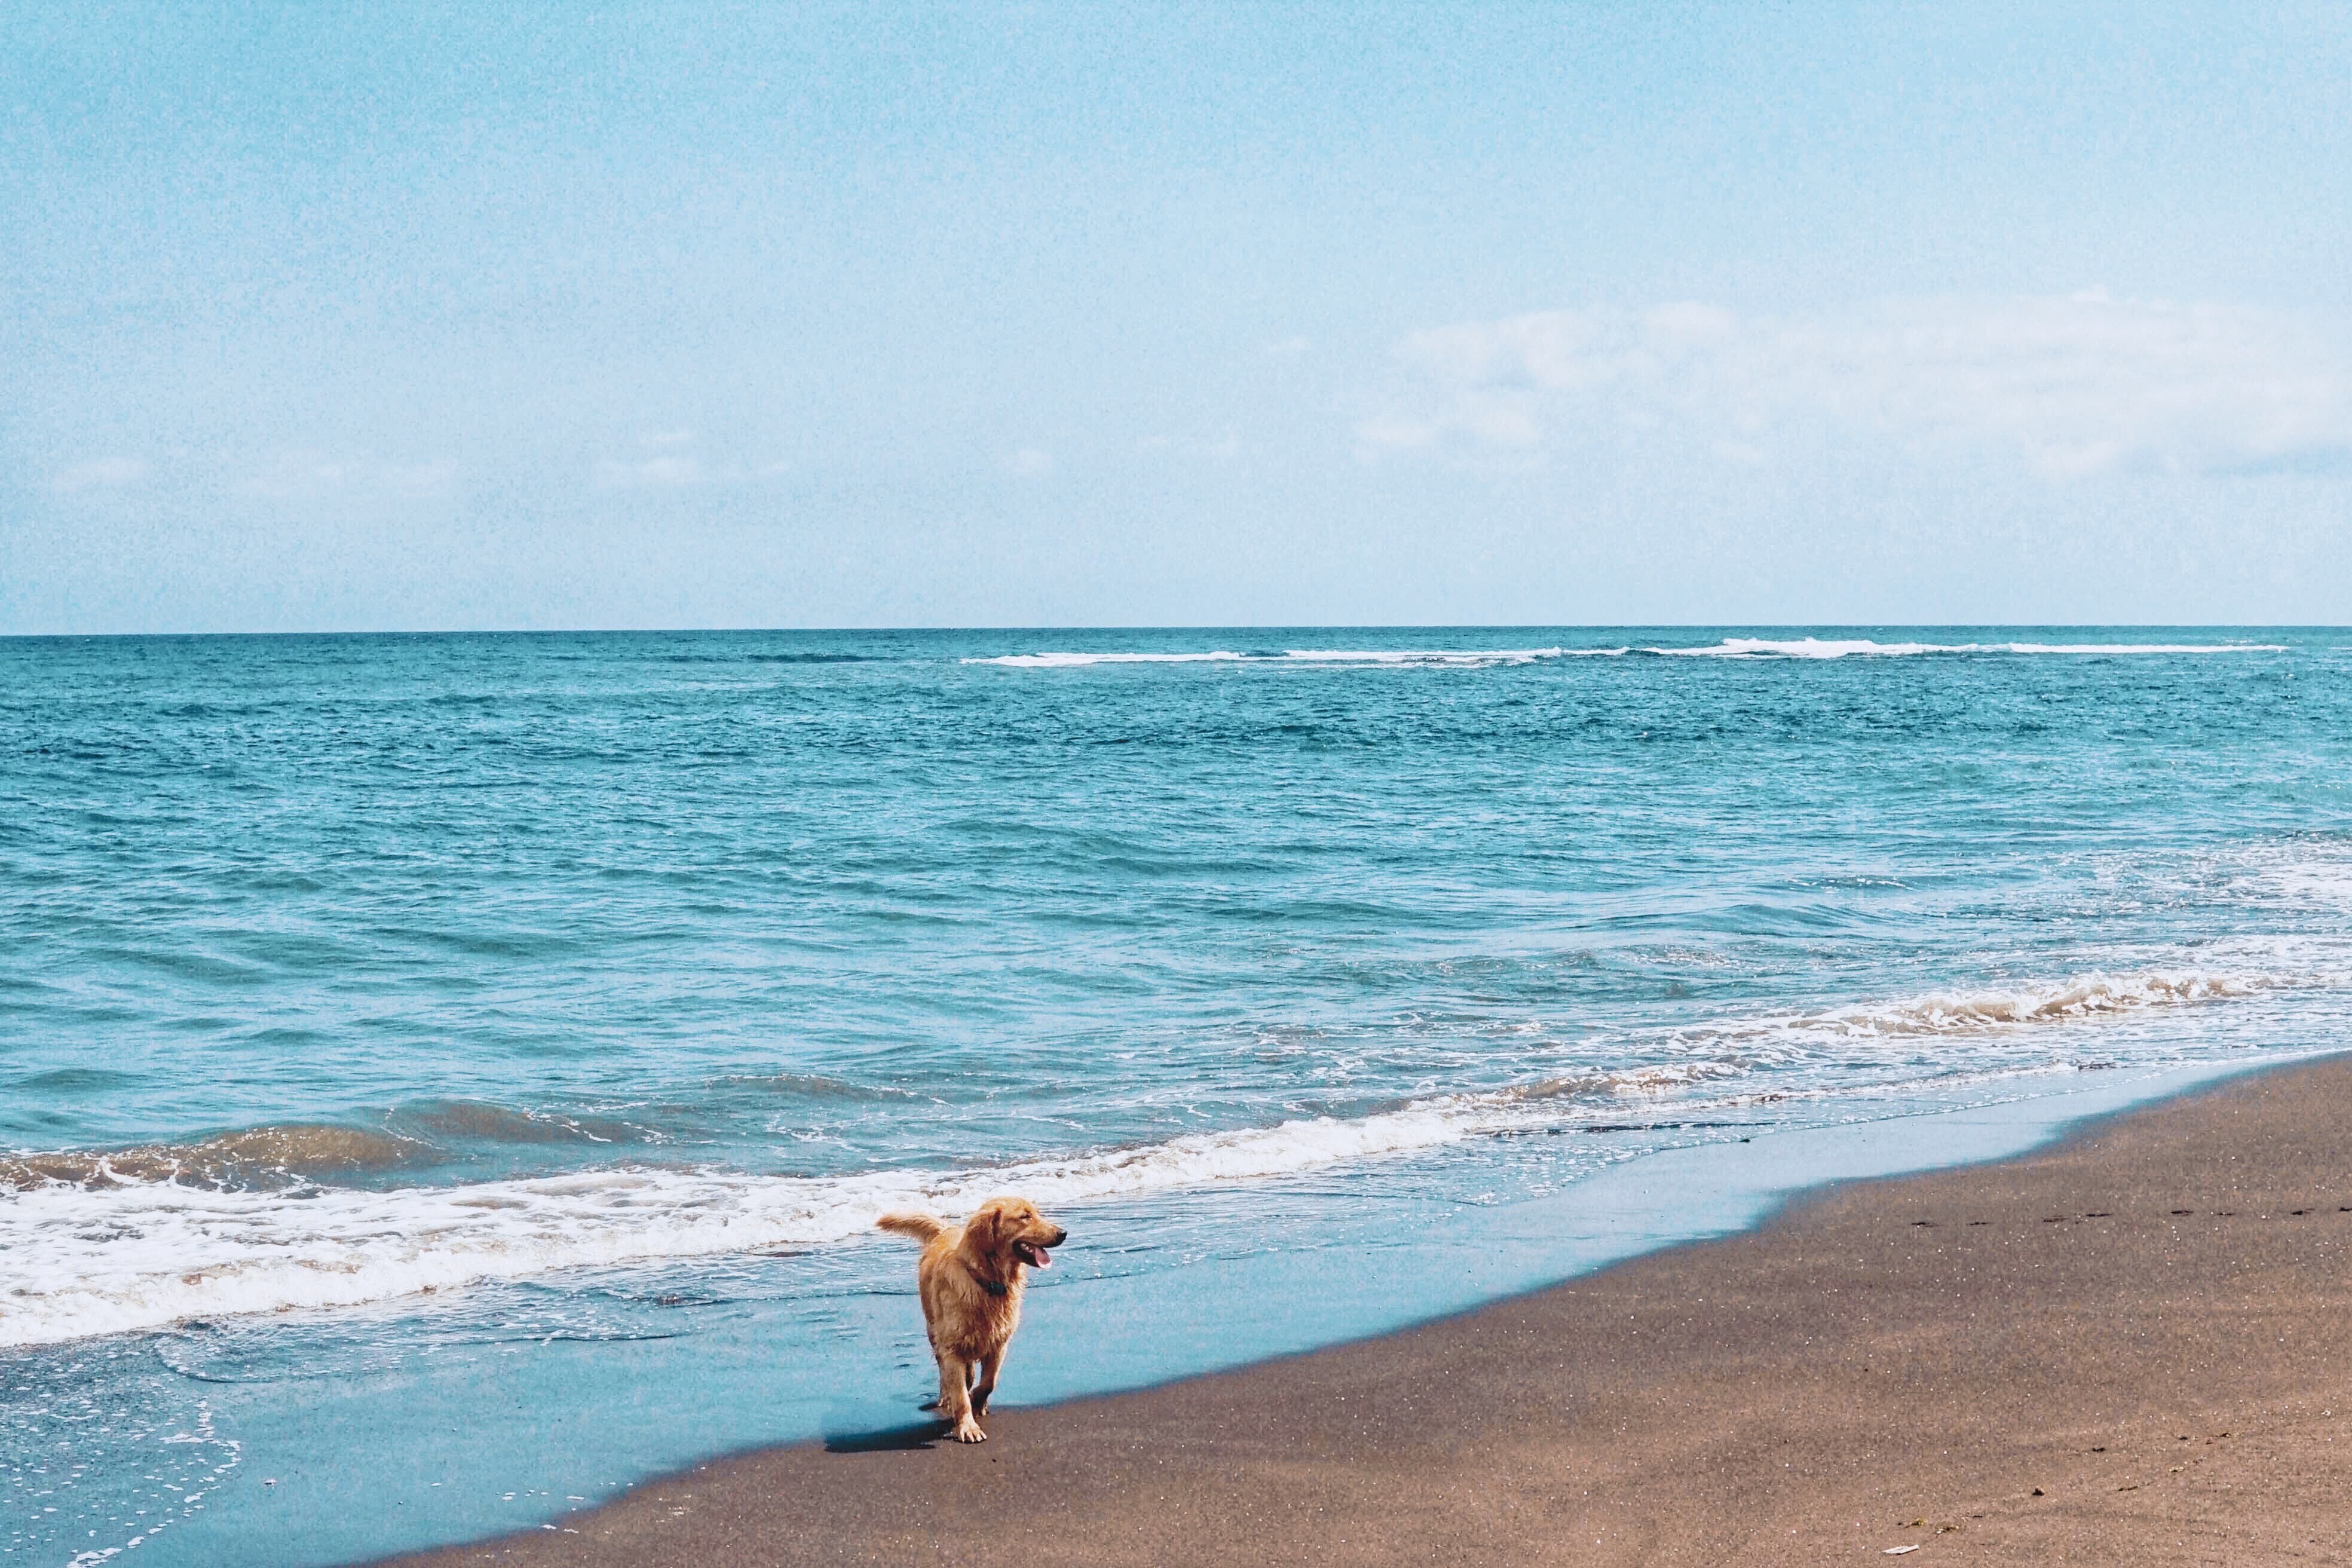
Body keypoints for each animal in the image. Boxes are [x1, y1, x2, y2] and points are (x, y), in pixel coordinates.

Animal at [880, 1203, 1072, 1448]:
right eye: (1025, 1217)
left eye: (1036, 1213)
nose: (1063, 1233)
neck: (989, 1283)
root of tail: (946, 1229)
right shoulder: (951, 1347)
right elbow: (961, 1395)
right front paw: (968, 1426)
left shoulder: (999, 1343)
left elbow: (989, 1382)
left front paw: (978, 1403)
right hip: (934, 1332)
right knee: (945, 1372)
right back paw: (947, 1395)